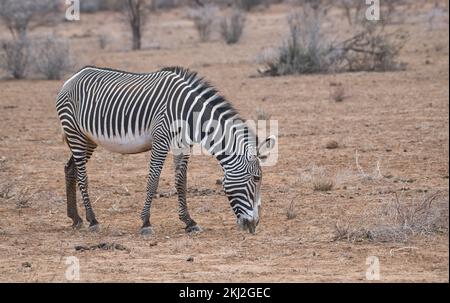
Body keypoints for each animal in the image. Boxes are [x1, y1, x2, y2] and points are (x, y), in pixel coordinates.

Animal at [56, 66, 274, 236]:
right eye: (256, 178)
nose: (254, 225)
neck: (188, 112)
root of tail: (73, 77)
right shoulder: (160, 140)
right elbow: (153, 181)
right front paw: (145, 223)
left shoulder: (183, 144)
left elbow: (181, 182)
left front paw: (189, 222)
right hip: (74, 132)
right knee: (82, 176)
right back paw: (92, 220)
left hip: (88, 138)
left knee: (70, 169)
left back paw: (75, 218)